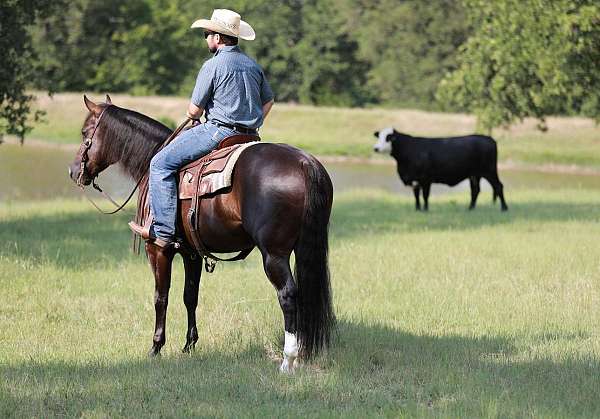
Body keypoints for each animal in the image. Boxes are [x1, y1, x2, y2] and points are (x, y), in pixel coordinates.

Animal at [70, 97, 336, 372]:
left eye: (84, 133)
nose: (73, 171)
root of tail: (304, 162)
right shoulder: (192, 254)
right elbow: (190, 296)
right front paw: (189, 345)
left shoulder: (158, 249)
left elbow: (161, 297)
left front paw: (156, 347)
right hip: (304, 248)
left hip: (274, 255)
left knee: (288, 295)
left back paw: (287, 360)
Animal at [372, 128, 508, 212]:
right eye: (379, 137)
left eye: (388, 138)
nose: (376, 148)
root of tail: (489, 138)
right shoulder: (415, 180)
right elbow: (416, 196)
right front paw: (417, 209)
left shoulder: (425, 179)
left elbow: (425, 196)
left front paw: (425, 210)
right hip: (474, 175)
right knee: (475, 190)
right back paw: (470, 208)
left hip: (489, 171)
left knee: (498, 186)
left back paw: (504, 208)